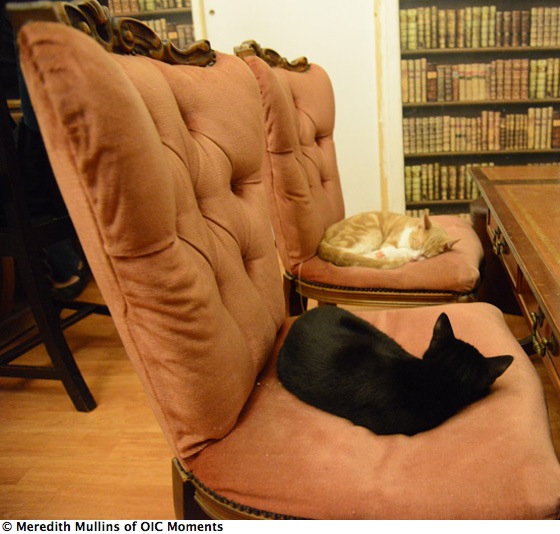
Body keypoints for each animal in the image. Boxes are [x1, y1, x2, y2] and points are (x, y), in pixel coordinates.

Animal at [320, 211, 460, 270]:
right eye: (415, 245)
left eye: (426, 255)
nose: (415, 258)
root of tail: (324, 237)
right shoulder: (390, 240)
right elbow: (397, 250)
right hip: (370, 233)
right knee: (349, 255)